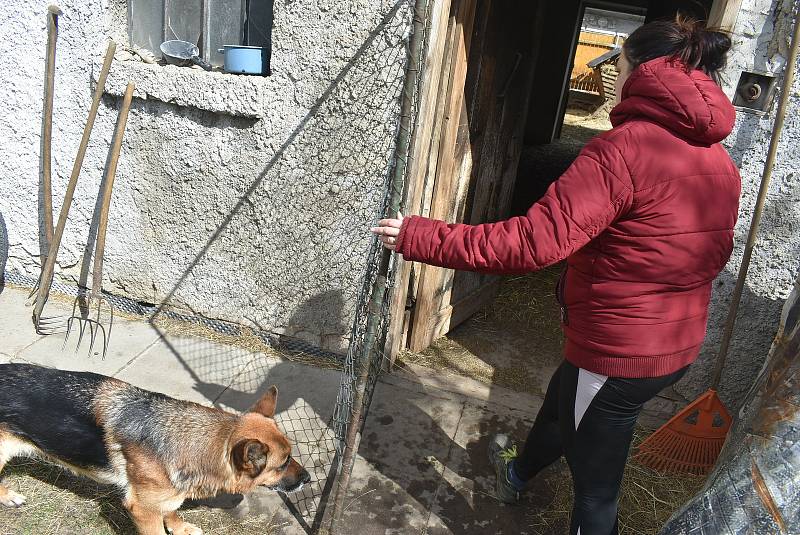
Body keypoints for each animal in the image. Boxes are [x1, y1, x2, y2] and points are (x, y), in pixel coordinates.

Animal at [0, 364, 310, 535]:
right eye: (283, 463)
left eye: (291, 455)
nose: (308, 479)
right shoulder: (142, 509)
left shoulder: (168, 493)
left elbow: (171, 509)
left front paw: (180, 527)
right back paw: (8, 497)